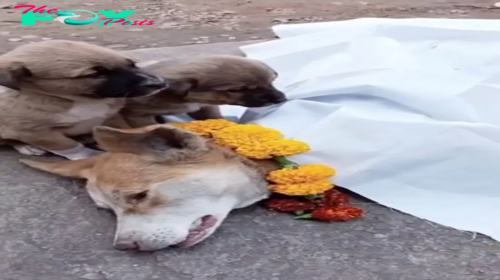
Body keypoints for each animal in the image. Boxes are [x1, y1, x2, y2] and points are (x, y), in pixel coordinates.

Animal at [0, 39, 168, 160]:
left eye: (132, 64)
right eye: (96, 74)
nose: (161, 84)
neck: (84, 100)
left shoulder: (111, 117)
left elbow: (124, 131)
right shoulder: (37, 133)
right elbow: (71, 147)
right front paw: (91, 156)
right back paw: (27, 147)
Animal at [113, 54, 286, 128]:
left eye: (271, 82)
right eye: (237, 89)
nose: (281, 99)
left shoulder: (205, 105)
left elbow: (213, 117)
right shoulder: (137, 115)